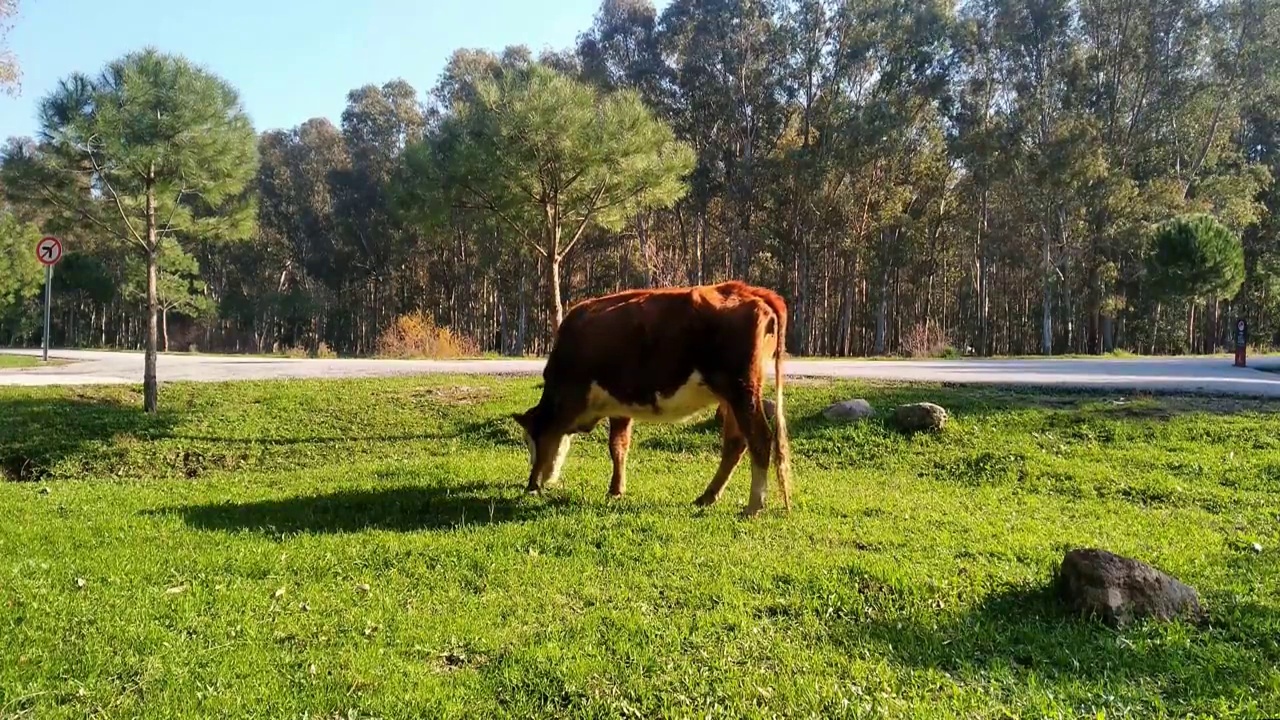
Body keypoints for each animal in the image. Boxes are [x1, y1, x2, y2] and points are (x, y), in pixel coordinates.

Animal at [509, 279, 788, 515]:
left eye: (529, 439)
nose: (534, 483)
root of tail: (747, 290)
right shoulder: (620, 405)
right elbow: (618, 446)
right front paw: (616, 489)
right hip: (730, 398)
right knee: (734, 443)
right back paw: (707, 496)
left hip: (742, 392)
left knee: (759, 439)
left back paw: (753, 506)